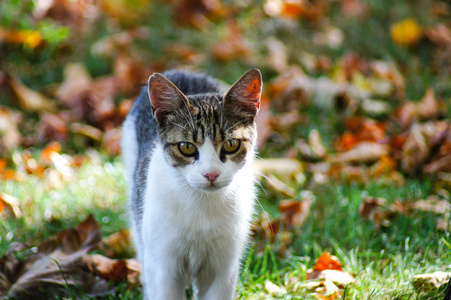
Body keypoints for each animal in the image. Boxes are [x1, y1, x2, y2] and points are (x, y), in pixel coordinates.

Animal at [121, 68, 262, 300]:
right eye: (186, 147)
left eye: (231, 144)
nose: (211, 174)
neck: (202, 206)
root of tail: (181, 71)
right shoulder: (163, 266)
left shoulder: (223, 267)